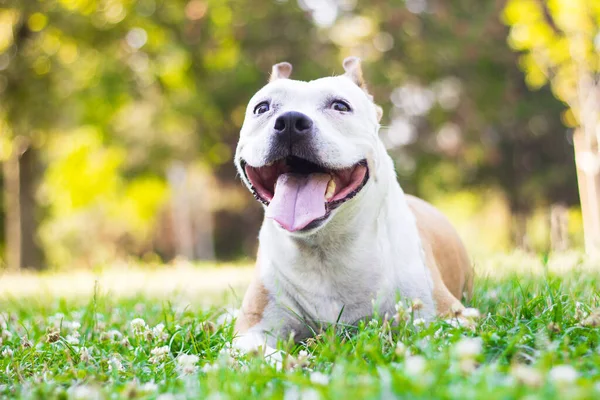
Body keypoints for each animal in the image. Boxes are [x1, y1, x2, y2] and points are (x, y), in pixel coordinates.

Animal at [232, 57, 472, 354]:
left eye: (340, 106)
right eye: (262, 108)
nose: (289, 121)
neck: (326, 247)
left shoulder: (450, 316)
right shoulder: (251, 329)